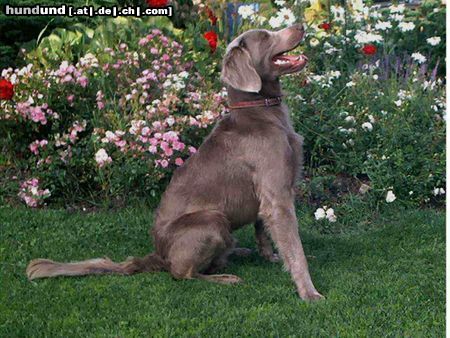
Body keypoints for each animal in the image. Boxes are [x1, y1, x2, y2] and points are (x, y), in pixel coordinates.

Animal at [26, 25, 324, 302]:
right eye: (264, 36)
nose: (301, 26)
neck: (261, 112)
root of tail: (157, 255)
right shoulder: (278, 195)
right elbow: (295, 247)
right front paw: (309, 292)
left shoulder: (270, 194)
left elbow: (264, 230)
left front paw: (271, 257)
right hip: (211, 219)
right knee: (181, 273)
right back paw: (225, 277)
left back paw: (235, 251)